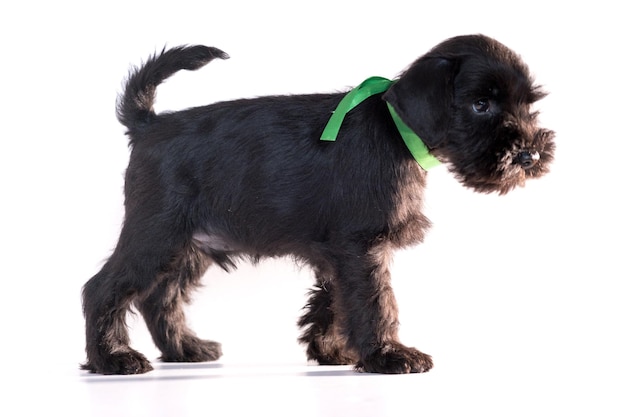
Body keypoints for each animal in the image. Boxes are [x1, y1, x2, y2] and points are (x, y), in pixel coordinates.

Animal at [80, 35, 552, 374]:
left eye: (528, 105)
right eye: (480, 104)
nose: (528, 154)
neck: (396, 129)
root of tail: (148, 124)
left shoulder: (338, 251)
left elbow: (331, 302)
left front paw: (332, 351)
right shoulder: (362, 246)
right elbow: (374, 300)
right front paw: (388, 355)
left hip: (192, 244)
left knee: (160, 297)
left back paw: (184, 349)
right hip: (156, 234)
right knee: (103, 288)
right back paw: (112, 359)